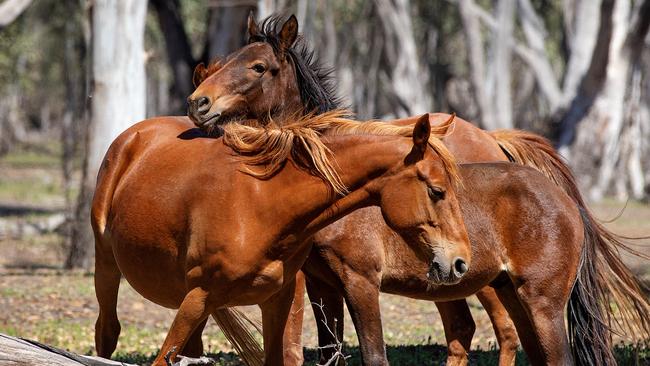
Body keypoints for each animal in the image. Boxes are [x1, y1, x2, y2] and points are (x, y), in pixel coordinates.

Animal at [90, 112, 470, 366]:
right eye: (437, 191)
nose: (460, 262)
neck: (262, 204)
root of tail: (133, 136)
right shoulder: (199, 296)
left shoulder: (276, 300)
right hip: (107, 268)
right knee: (107, 331)